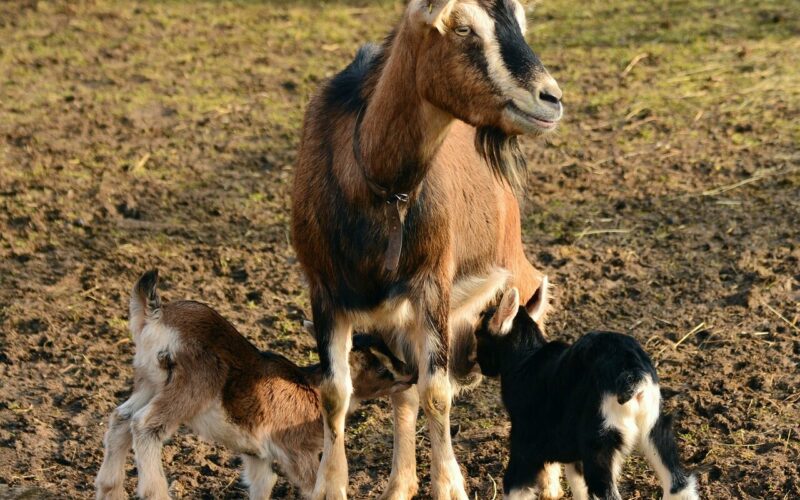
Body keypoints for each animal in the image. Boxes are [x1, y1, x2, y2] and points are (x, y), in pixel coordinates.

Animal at [95, 270, 414, 500]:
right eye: (380, 367)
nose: (411, 373)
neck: (310, 388)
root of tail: (156, 315)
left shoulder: (258, 456)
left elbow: (263, 485)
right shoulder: (296, 450)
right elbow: (316, 488)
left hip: (149, 380)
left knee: (121, 418)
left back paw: (110, 489)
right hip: (193, 382)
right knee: (145, 425)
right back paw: (155, 493)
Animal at [291, 1, 563, 497]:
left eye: (520, 21)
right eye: (462, 28)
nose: (550, 98)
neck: (375, 185)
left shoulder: (433, 283)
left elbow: (436, 392)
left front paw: (449, 485)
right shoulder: (324, 291)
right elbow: (337, 393)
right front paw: (334, 484)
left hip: (515, 272)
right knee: (405, 392)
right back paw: (399, 484)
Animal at [473, 280, 699, 500]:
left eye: (478, 334)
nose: (481, 367)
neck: (526, 359)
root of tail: (631, 372)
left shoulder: (524, 444)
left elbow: (515, 488)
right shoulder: (573, 451)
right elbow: (578, 485)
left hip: (600, 440)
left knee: (605, 493)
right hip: (654, 427)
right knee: (679, 486)